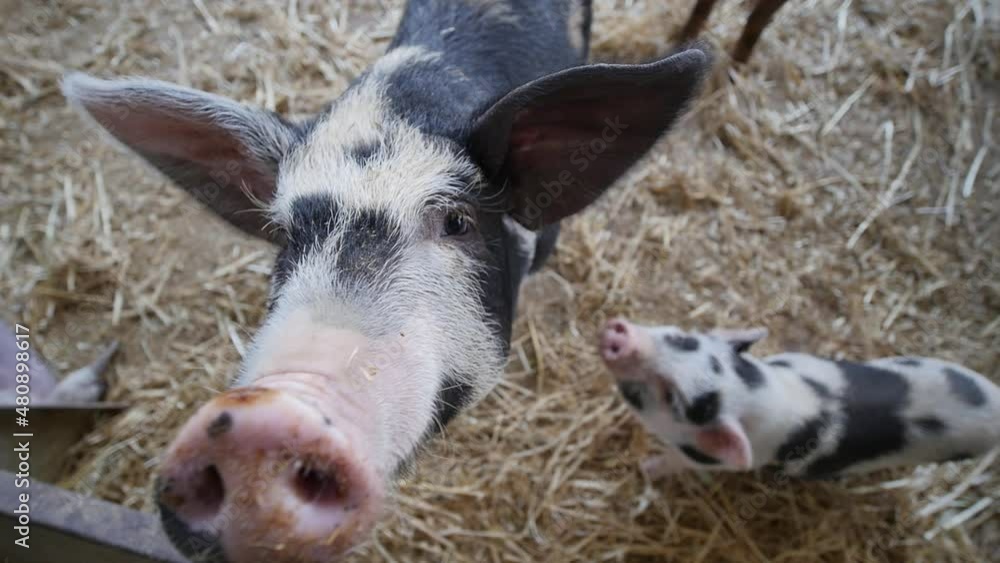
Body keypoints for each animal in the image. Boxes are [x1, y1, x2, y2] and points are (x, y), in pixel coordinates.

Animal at [599, 318, 1000, 479]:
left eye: (674, 398)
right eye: (684, 340)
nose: (620, 336)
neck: (755, 392)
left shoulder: (709, 460)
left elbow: (673, 462)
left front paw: (645, 470)